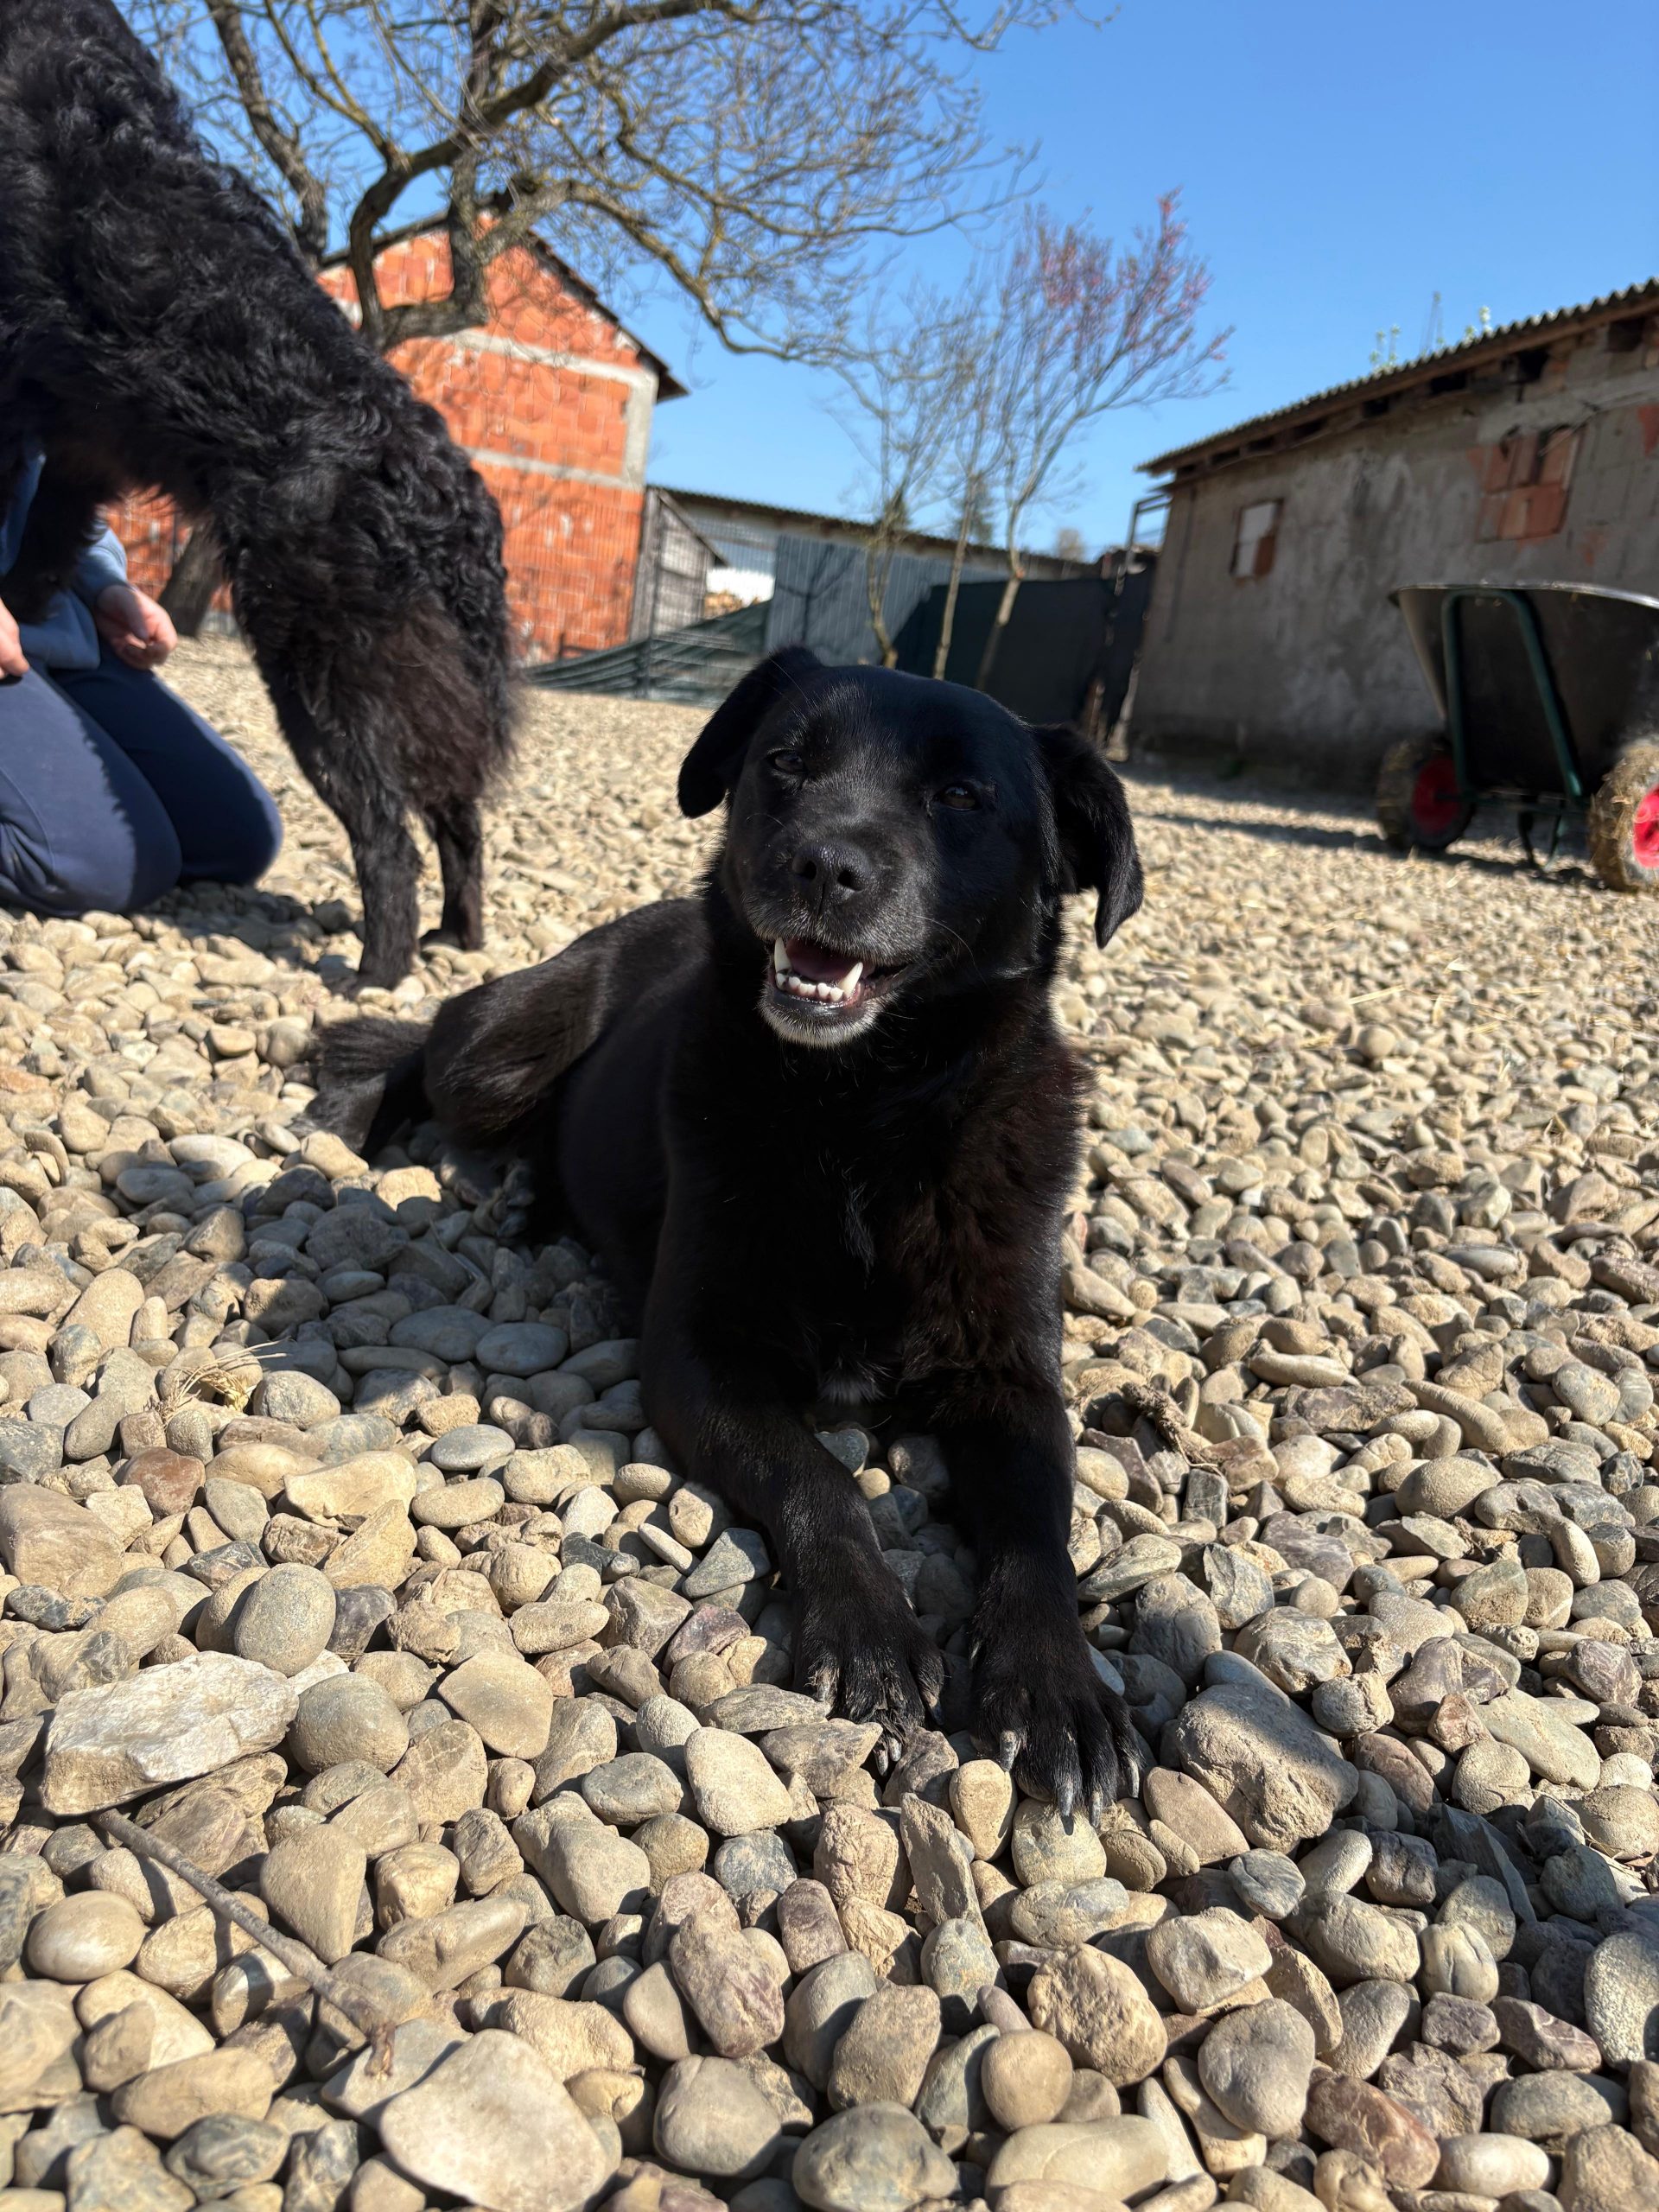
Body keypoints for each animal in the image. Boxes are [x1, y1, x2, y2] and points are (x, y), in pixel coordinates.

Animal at [0, 0, 512, 985]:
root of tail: (437, 498)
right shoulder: (79, 442)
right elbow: (39, 551)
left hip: (317, 672)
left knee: (390, 840)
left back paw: (375, 975)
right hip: (417, 684)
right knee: (459, 816)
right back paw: (457, 938)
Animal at [324, 648, 1147, 1810]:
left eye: (962, 796)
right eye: (786, 762)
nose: (822, 865)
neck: (863, 1119)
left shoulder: (1011, 1376)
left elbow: (1039, 1528)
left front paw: (1055, 1682)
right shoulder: (698, 1356)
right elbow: (823, 1480)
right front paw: (871, 1630)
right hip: (500, 1050)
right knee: (432, 1041)